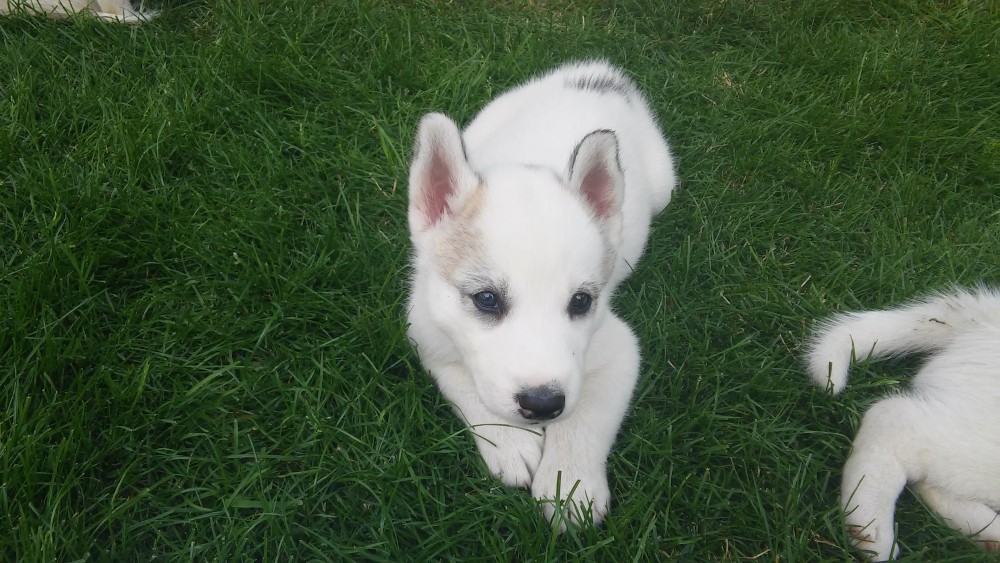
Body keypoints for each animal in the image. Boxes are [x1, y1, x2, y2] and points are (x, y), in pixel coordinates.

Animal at [405, 60, 675, 528]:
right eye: (487, 299)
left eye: (581, 302)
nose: (543, 404)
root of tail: (598, 74)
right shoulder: (427, 334)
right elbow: (466, 386)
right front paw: (509, 443)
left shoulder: (619, 349)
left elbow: (586, 418)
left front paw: (572, 484)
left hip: (664, 185)